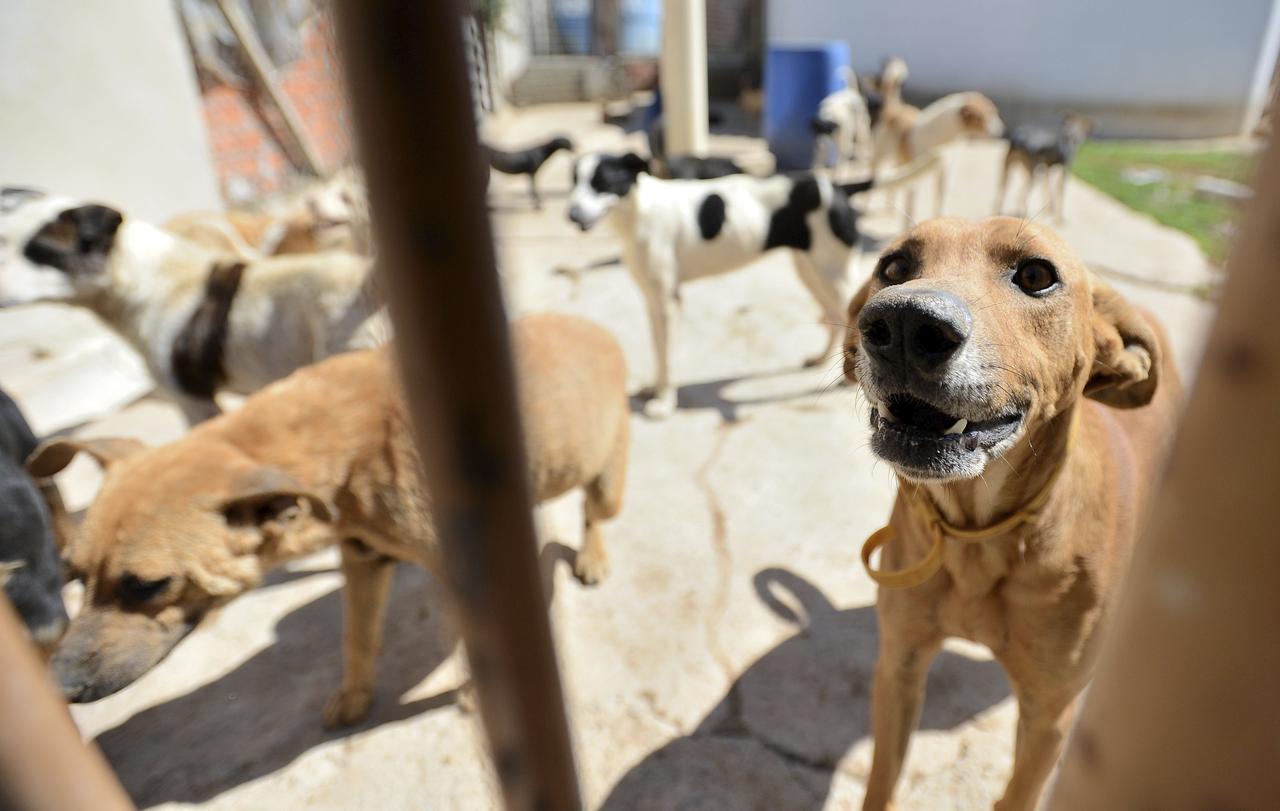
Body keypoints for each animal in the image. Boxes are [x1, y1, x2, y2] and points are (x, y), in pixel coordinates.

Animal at [30, 312, 629, 721]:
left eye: (148, 585)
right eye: (73, 576)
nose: (59, 688)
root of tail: (596, 328)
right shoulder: (363, 561)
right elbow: (356, 638)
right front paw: (354, 697)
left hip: (605, 483)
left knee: (592, 514)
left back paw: (594, 558)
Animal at [570, 150, 931, 417]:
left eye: (603, 182)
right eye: (574, 182)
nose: (571, 215)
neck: (638, 212)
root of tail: (839, 187)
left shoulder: (665, 301)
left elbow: (665, 356)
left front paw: (663, 401)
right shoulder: (653, 300)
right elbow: (658, 349)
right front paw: (654, 390)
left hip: (833, 272)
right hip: (810, 269)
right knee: (832, 314)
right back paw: (819, 358)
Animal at [844, 217, 1182, 808]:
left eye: (1036, 275)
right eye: (894, 266)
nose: (904, 323)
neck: (978, 537)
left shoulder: (1050, 717)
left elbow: (1017, 794)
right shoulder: (899, 667)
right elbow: (882, 779)